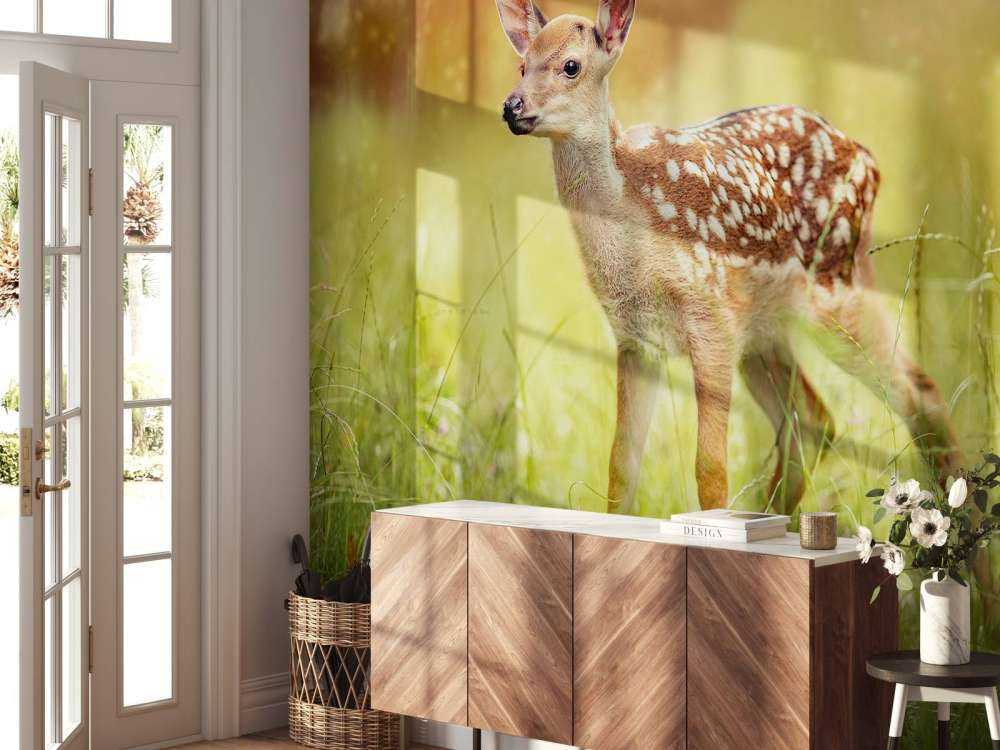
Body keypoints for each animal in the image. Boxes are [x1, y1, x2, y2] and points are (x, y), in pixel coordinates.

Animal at [495, 0, 962, 518]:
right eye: (521, 65)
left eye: (571, 66)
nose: (512, 106)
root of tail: (870, 162)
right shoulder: (635, 337)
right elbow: (621, 464)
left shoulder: (710, 317)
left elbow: (710, 470)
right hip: (764, 332)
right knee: (813, 420)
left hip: (834, 289)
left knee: (918, 392)